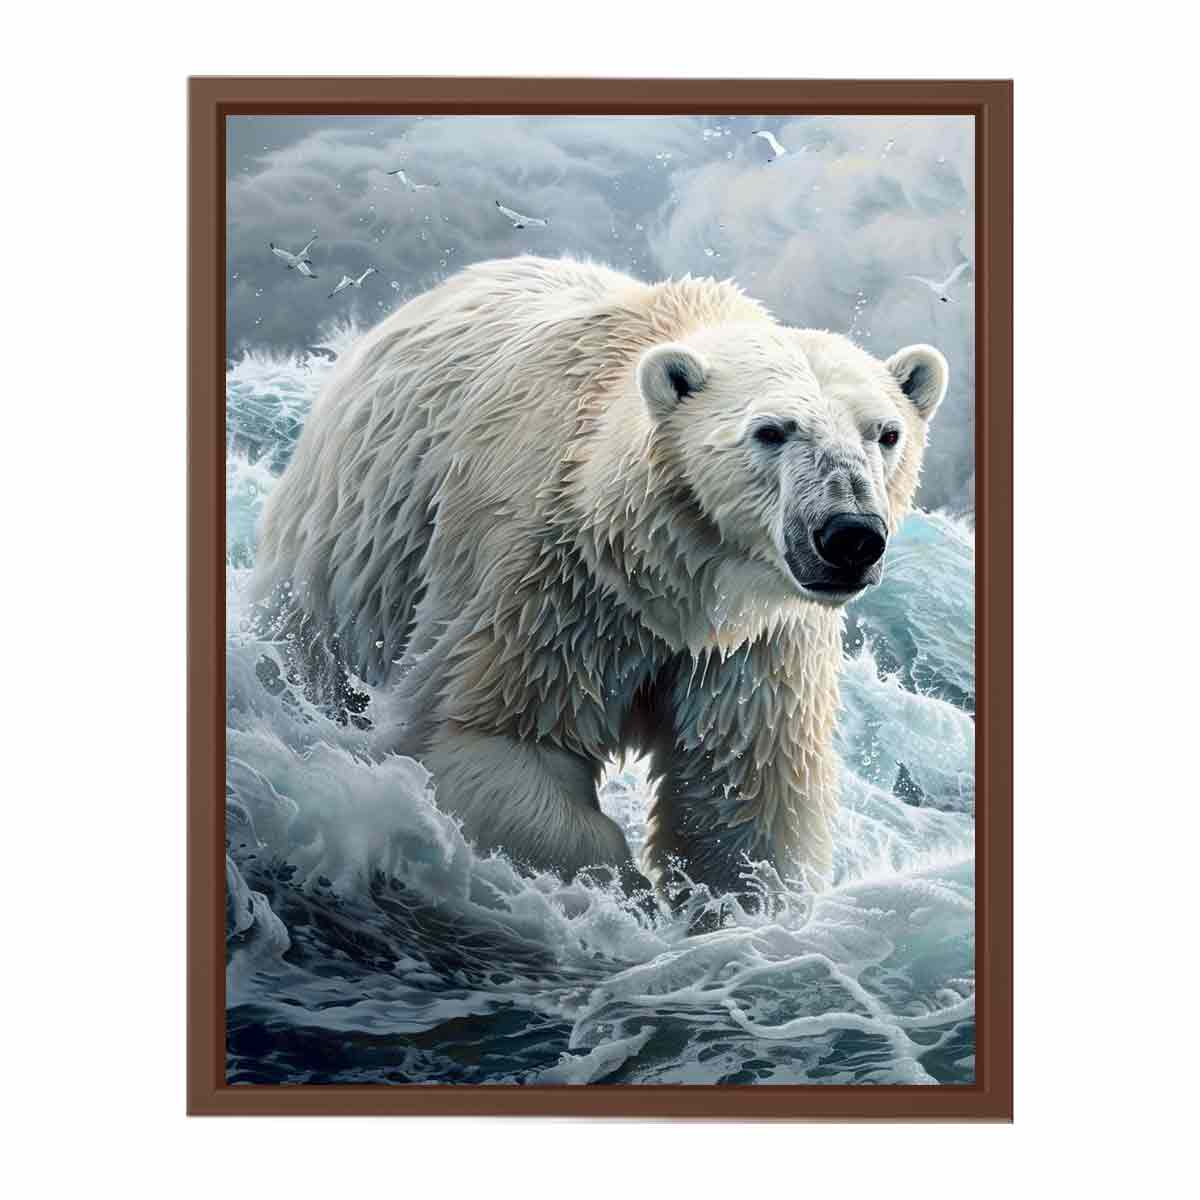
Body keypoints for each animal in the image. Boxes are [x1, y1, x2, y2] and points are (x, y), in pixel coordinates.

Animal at [252, 255, 947, 902]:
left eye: (886, 433)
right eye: (771, 431)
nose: (850, 535)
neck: (670, 574)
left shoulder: (757, 644)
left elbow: (744, 797)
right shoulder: (549, 584)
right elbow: (494, 738)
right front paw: (625, 893)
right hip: (351, 553)